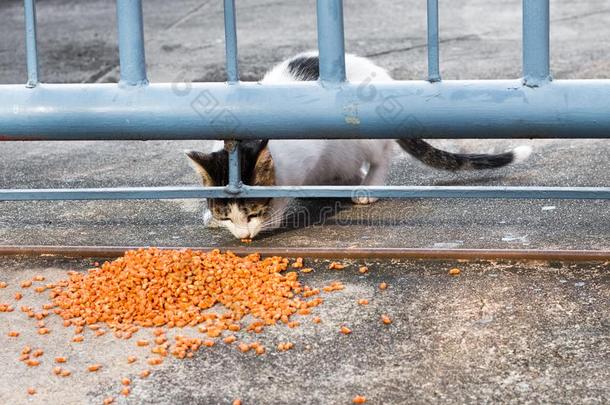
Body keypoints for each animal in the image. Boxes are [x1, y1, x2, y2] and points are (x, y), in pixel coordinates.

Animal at [184, 51, 528, 238]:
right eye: (227, 216)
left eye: (252, 213)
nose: (243, 235)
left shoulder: (303, 152)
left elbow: (283, 190)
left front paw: (273, 216)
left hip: (363, 127)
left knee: (381, 155)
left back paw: (368, 185)